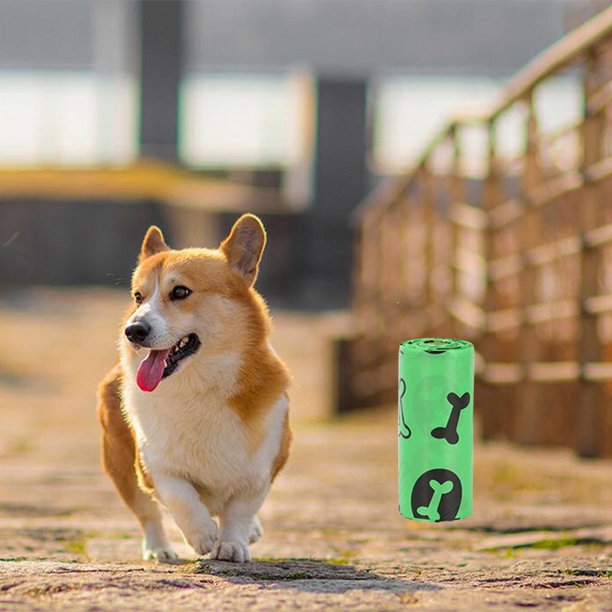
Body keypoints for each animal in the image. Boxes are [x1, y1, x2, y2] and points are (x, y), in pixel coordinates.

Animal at [97, 215, 292, 564]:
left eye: (180, 291)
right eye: (138, 297)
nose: (133, 331)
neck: (199, 385)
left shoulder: (261, 471)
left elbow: (239, 511)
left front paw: (232, 545)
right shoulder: (153, 467)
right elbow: (181, 497)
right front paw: (203, 536)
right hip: (122, 470)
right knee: (148, 514)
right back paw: (159, 549)